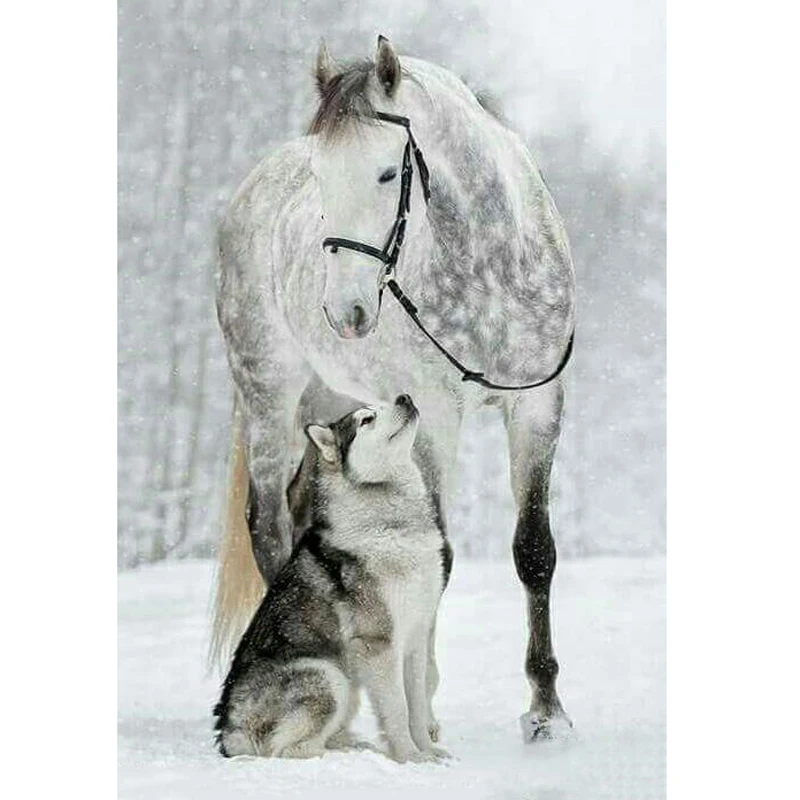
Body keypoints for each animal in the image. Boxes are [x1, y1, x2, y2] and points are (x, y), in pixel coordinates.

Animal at [213, 394, 452, 762]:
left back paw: (352, 744)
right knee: (287, 750)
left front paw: (427, 752)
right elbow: (397, 710)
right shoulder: (379, 643)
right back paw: (343, 755)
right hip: (330, 675)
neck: (392, 526)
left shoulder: (415, 637)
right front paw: (409, 758)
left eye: (384, 403)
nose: (405, 396)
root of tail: (229, 731)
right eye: (367, 419)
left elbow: (416, 704)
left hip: (347, 685)